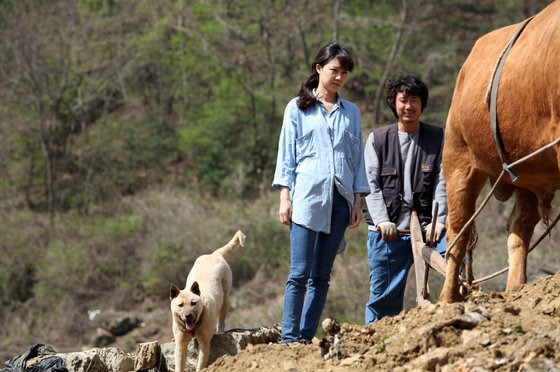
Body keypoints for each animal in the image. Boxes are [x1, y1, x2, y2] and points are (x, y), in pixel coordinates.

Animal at [167, 230, 244, 372]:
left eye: (193, 303)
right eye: (180, 305)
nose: (188, 316)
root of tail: (214, 254)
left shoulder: (204, 343)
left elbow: (201, 364)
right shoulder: (181, 345)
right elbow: (180, 364)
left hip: (226, 298)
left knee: (222, 318)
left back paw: (220, 331)